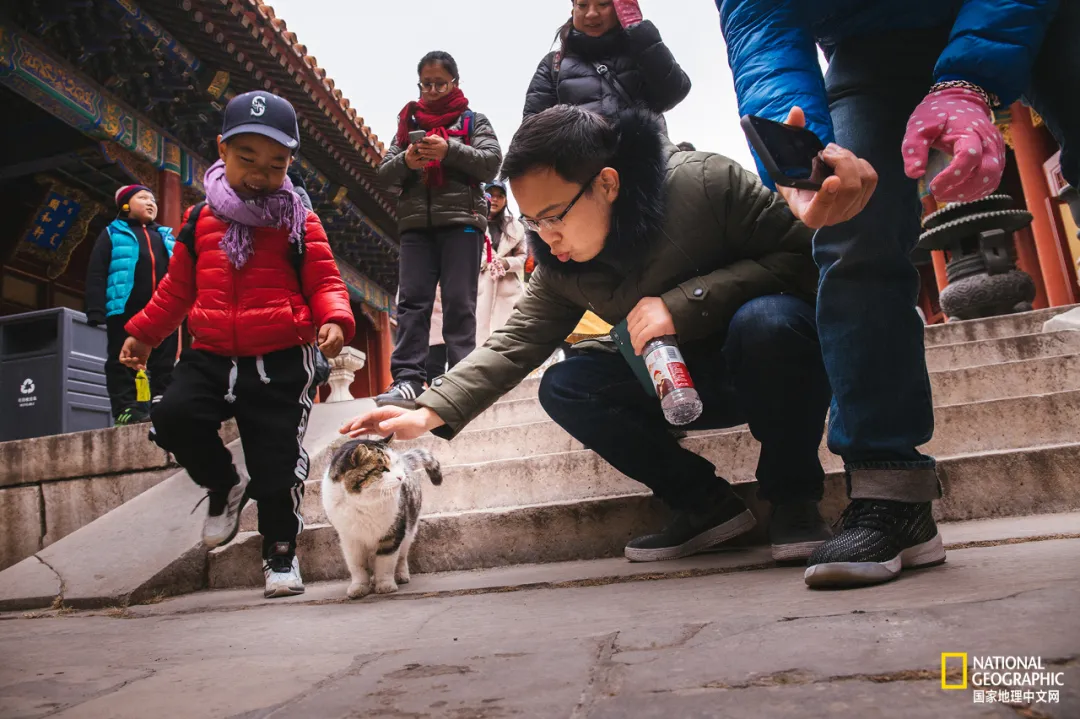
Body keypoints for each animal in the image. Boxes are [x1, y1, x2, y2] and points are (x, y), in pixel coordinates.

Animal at [319, 436, 442, 600]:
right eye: (383, 468)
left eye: (396, 463)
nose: (401, 476)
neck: (365, 505)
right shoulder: (350, 539)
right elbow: (357, 566)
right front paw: (359, 587)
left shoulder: (392, 533)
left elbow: (385, 562)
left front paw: (385, 585)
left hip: (409, 530)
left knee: (402, 556)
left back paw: (401, 575)